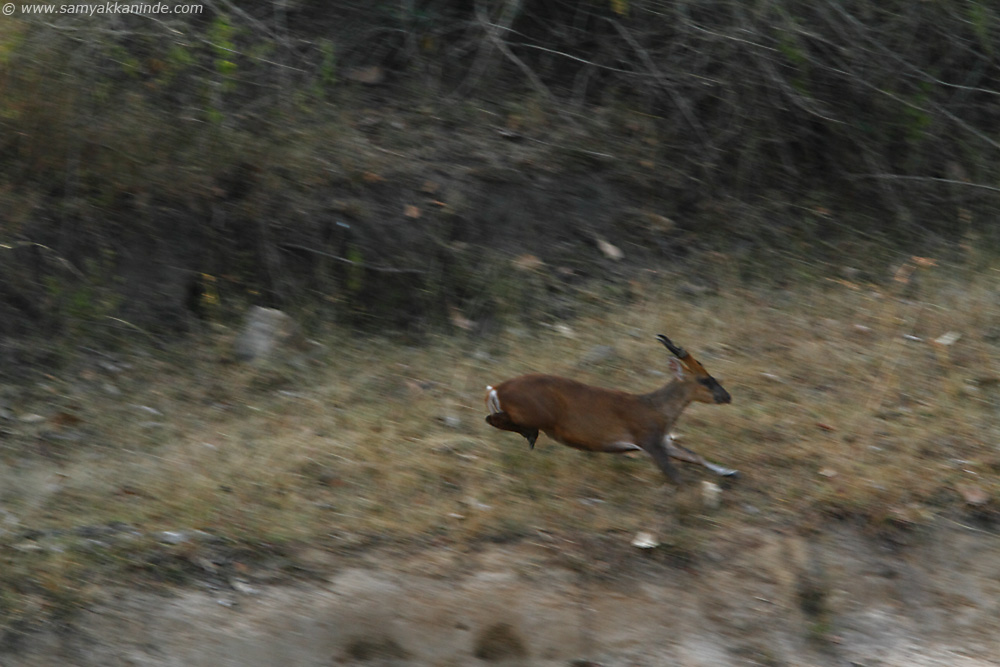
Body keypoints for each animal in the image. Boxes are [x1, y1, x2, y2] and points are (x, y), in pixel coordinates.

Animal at [484, 334, 736, 486]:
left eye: (711, 375)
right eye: (705, 380)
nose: (727, 396)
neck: (655, 408)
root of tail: (495, 389)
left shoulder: (663, 440)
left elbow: (694, 456)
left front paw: (730, 471)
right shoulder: (648, 440)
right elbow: (674, 474)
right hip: (537, 414)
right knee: (493, 418)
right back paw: (530, 436)